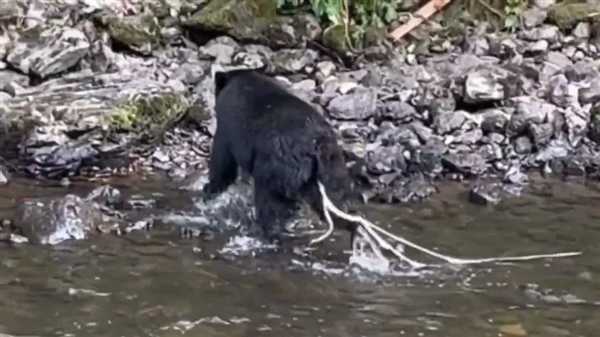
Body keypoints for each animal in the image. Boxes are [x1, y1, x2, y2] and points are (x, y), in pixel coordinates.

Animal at [202, 67, 356, 242]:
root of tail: (315, 144)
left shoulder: (228, 128)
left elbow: (222, 160)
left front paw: (209, 189)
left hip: (276, 166)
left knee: (269, 201)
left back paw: (265, 230)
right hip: (332, 164)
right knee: (339, 196)